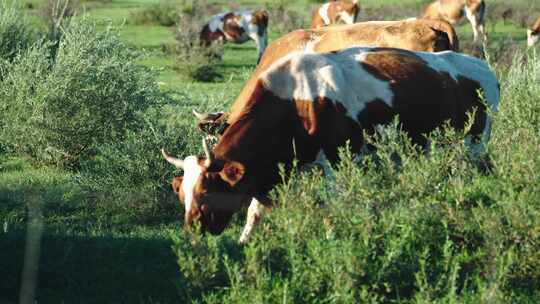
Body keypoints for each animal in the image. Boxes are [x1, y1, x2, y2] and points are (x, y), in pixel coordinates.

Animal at [162, 46, 500, 243]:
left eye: (207, 192)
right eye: (181, 195)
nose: (192, 232)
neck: (297, 101)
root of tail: (481, 66)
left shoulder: (336, 166)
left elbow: (330, 210)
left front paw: (331, 241)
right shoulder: (277, 170)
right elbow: (254, 211)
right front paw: (244, 244)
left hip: (474, 146)